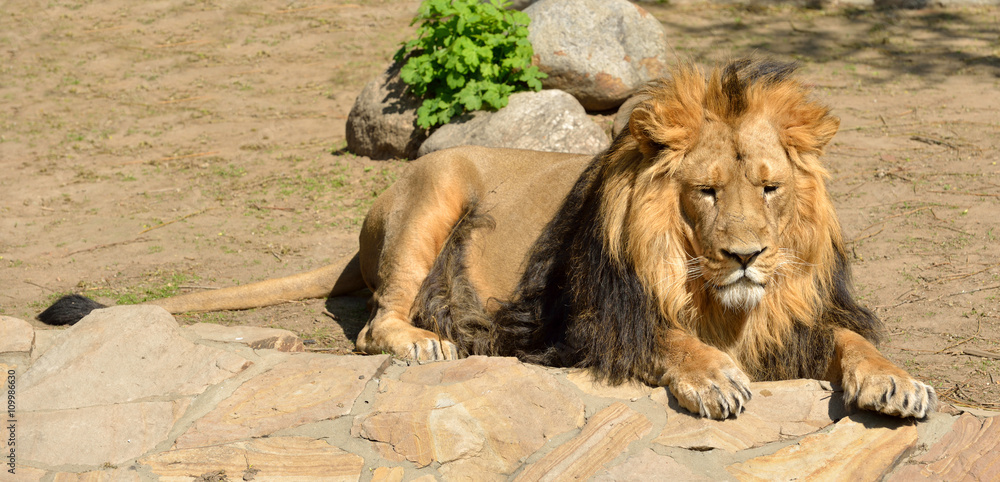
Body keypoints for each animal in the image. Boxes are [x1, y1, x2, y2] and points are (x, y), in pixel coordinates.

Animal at [40, 58, 936, 420]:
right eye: (706, 192)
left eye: (770, 189)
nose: (747, 255)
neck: (708, 288)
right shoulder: (584, 322)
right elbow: (663, 339)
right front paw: (713, 376)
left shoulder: (798, 320)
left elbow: (855, 343)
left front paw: (897, 384)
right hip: (436, 193)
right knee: (375, 322)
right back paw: (427, 341)